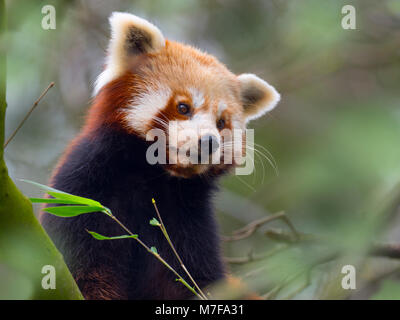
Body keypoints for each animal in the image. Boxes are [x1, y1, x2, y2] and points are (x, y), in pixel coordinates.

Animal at [39, 11, 278, 298]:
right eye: (183, 107)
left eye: (221, 122)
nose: (209, 142)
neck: (152, 177)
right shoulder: (84, 189)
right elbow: (86, 268)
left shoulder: (188, 220)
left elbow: (191, 278)